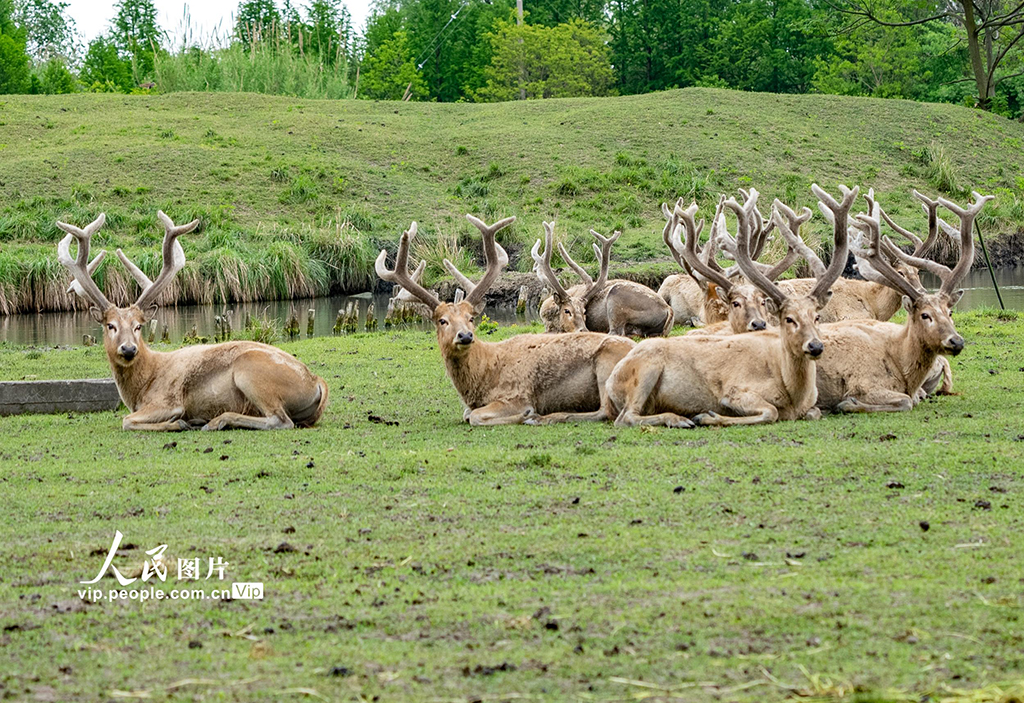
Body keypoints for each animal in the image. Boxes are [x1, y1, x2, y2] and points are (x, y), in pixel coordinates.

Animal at [57, 211, 327, 431]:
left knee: (280, 420)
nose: (129, 348)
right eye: (110, 325)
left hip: (250, 372)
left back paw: (215, 421)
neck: (139, 390)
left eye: (138, 326)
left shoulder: (168, 401)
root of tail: (317, 382)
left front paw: (179, 423)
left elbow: (126, 420)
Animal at [372, 214, 634, 425]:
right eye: (442, 320)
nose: (465, 335)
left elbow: (474, 416)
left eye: (471, 318)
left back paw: (543, 418)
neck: (482, 379)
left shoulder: (516, 394)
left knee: (607, 412)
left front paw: (526, 414)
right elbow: (467, 414)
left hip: (607, 366)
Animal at [532, 225, 675, 335]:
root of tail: (669, 310)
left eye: (584, 311)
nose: (584, 330)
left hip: (616, 299)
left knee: (616, 332)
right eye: (567, 310)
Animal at [606, 184, 856, 429]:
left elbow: (814, 412)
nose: (815, 346)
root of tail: (610, 381)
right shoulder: (736, 391)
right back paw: (678, 419)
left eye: (817, 317)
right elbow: (770, 411)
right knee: (626, 417)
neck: (795, 393)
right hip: (645, 370)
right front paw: (708, 416)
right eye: (788, 318)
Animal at [811, 189, 987, 415]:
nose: (956, 341)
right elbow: (906, 401)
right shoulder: (864, 382)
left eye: (950, 312)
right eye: (925, 315)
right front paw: (848, 403)